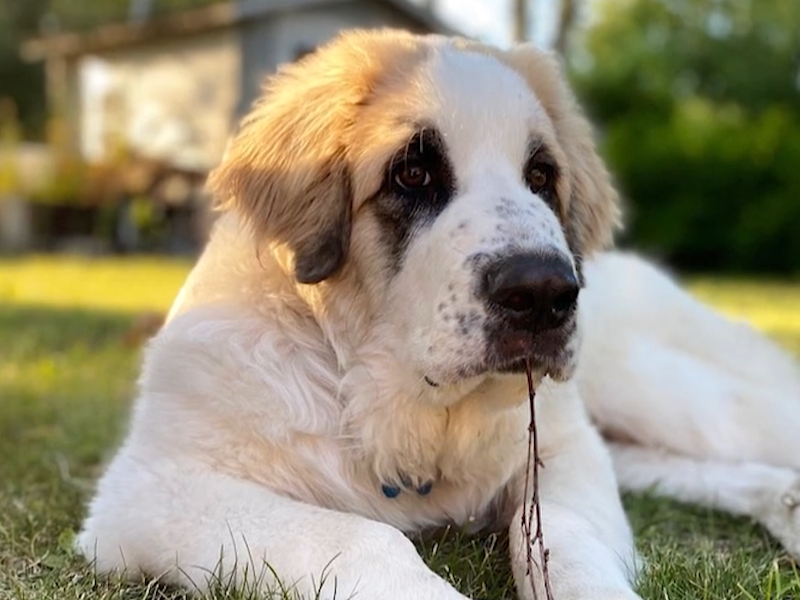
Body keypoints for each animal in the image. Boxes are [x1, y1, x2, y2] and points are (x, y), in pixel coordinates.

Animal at [78, 30, 800, 600]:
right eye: (413, 175)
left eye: (541, 177)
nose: (545, 291)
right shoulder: (153, 491)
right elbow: (364, 538)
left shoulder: (567, 450)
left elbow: (559, 538)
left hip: (669, 396)